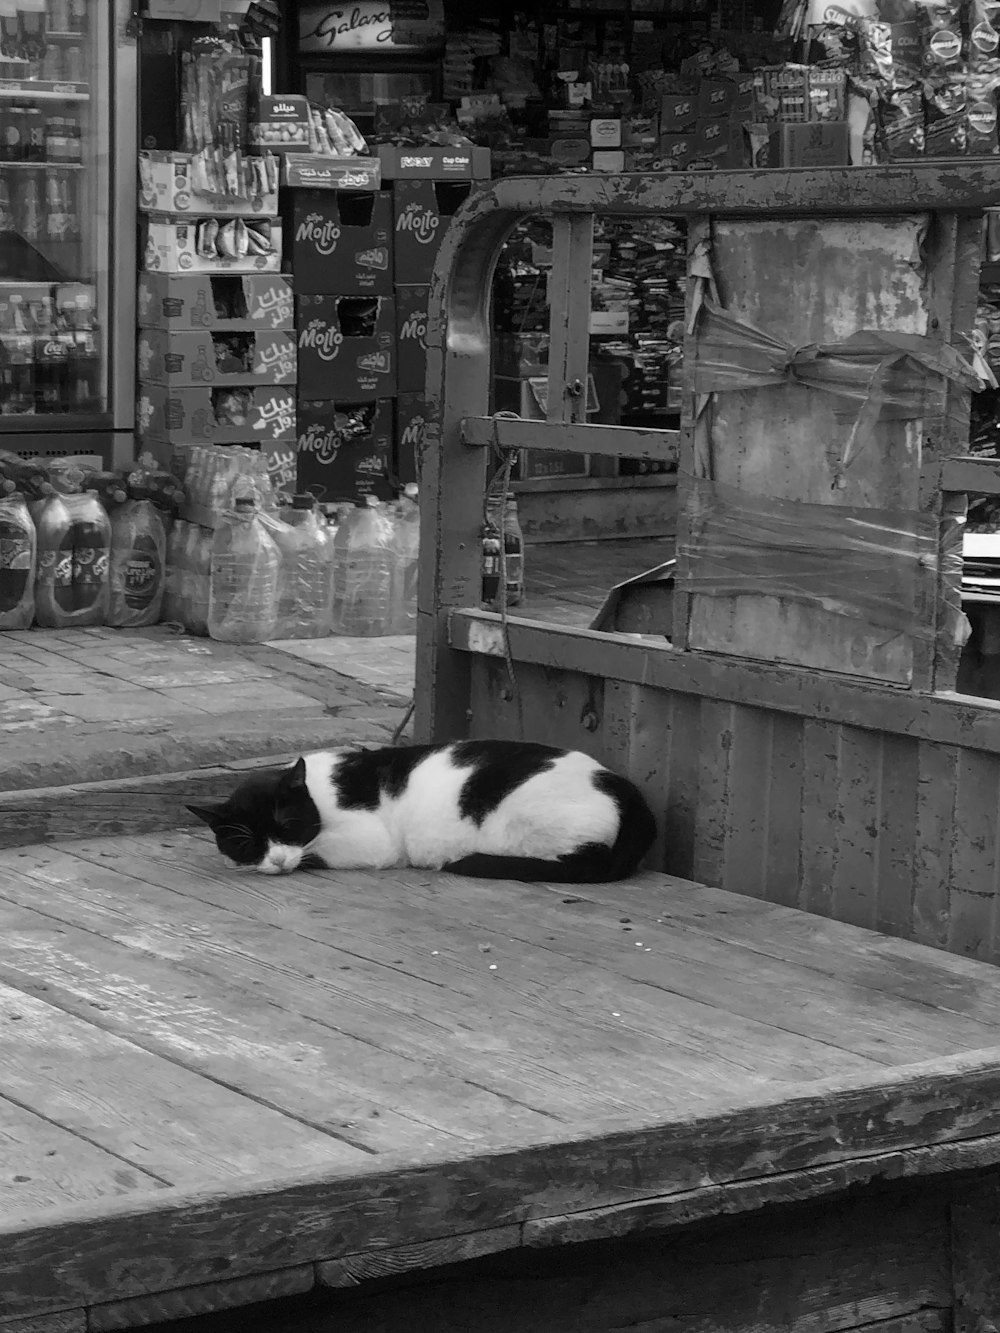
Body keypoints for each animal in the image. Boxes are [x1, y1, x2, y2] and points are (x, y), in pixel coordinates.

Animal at [186, 741, 658, 885]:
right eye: (247, 843)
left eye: (287, 826)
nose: (278, 859)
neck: (319, 792)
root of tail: (625, 788)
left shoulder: (372, 842)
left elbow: (315, 853)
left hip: (529, 819)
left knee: (584, 861)